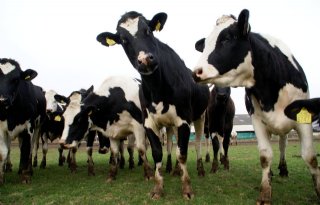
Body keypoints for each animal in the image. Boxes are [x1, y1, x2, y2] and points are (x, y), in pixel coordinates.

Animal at [96, 10, 209, 199]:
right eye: (123, 40)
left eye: (148, 30)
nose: (145, 60)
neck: (158, 88)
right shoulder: (149, 123)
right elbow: (158, 153)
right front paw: (158, 187)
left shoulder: (184, 120)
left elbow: (182, 153)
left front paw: (187, 188)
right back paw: (176, 170)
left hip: (200, 117)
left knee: (199, 143)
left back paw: (200, 170)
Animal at [192, 8, 320, 203]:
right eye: (205, 43)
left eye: (227, 38)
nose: (196, 72)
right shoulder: (256, 121)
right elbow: (265, 156)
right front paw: (265, 193)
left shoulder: (303, 118)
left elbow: (310, 157)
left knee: (283, 144)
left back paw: (283, 169)